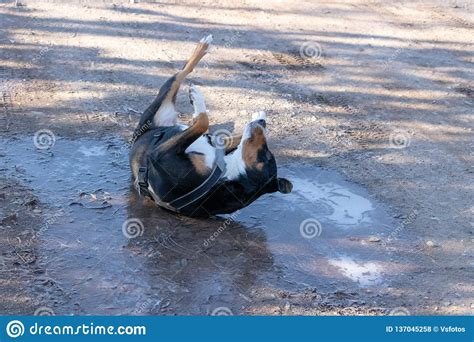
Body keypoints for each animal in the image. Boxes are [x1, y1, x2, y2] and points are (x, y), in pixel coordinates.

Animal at [131, 34, 292, 216]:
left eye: (267, 155)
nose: (262, 123)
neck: (226, 173)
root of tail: (141, 133)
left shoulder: (159, 155)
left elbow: (204, 122)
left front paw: (198, 101)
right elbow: (224, 133)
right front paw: (259, 118)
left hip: (155, 108)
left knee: (181, 75)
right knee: (183, 72)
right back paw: (203, 48)